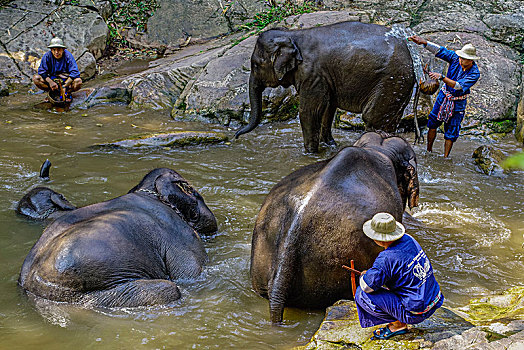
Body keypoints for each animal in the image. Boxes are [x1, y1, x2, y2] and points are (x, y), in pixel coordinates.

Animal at [18, 168, 217, 308]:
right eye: (194, 192)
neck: (150, 191)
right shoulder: (180, 233)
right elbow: (189, 273)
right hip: (104, 295)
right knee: (170, 290)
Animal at [235, 21, 416, 152]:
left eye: (255, 65)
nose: (236, 137)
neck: (292, 35)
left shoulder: (312, 74)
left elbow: (309, 112)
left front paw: (310, 153)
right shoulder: (324, 78)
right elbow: (328, 107)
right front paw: (329, 145)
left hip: (390, 82)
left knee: (373, 119)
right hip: (399, 87)